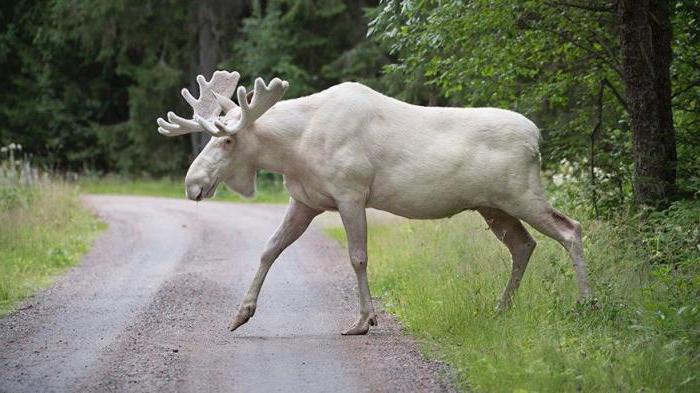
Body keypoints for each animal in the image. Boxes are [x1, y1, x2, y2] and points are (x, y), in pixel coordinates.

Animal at [157, 70, 592, 334]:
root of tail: (537, 137)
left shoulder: (351, 193)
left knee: (571, 229)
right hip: (493, 206)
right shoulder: (305, 201)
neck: (294, 149)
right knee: (524, 244)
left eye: (228, 140)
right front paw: (240, 314)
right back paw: (502, 308)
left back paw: (586, 304)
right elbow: (268, 249)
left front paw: (364, 320)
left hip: (522, 194)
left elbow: (358, 257)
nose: (192, 184)